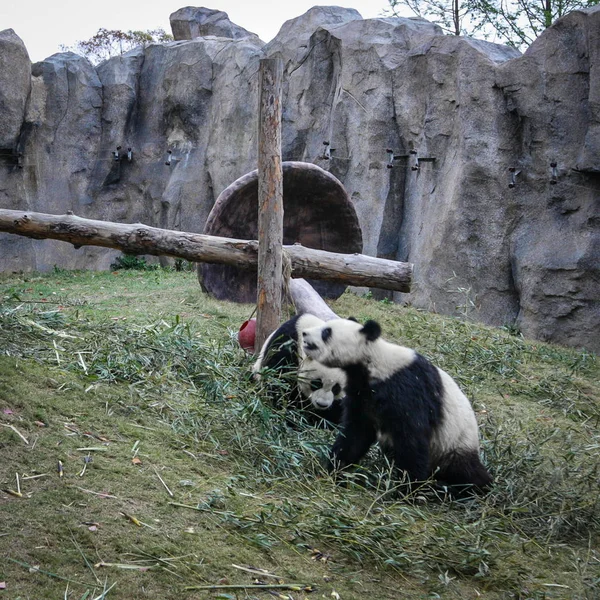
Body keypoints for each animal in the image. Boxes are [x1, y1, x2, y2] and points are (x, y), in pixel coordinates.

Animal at [300, 318, 492, 492]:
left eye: (327, 332)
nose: (304, 333)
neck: (372, 361)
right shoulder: (362, 394)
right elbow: (356, 432)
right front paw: (335, 470)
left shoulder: (407, 390)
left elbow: (413, 439)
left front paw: (406, 489)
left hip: (454, 442)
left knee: (465, 470)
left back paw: (464, 487)